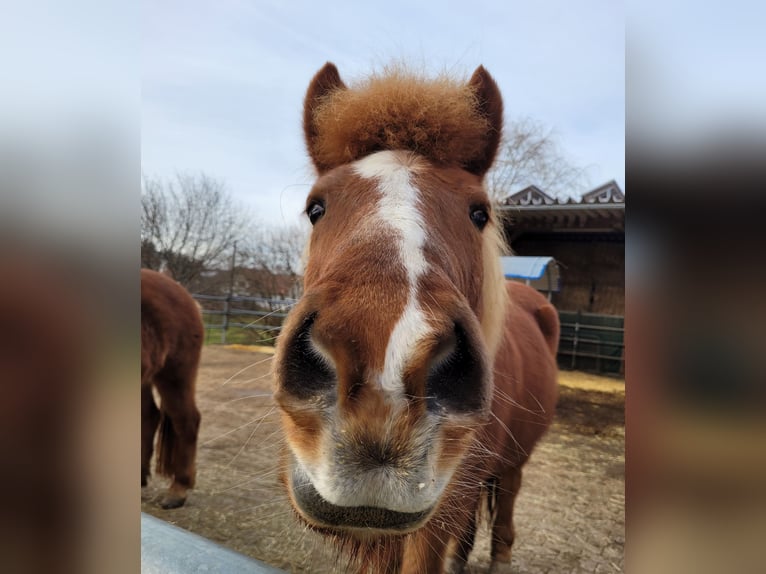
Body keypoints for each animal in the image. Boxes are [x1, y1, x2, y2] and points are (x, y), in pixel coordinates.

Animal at [273, 63, 560, 573]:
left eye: (479, 212)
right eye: (316, 208)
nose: (382, 383)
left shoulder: (438, 518)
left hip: (513, 464)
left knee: (505, 508)